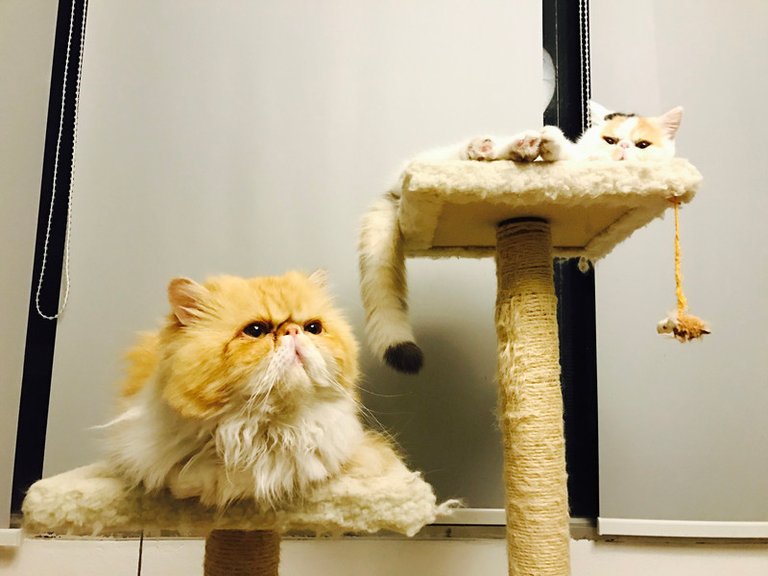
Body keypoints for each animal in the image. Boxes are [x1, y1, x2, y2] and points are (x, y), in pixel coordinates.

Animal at [359, 102, 683, 373]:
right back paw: (499, 147)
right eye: (610, 141)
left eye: (643, 144)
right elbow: (561, 149)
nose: (624, 148)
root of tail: (395, 189)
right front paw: (547, 142)